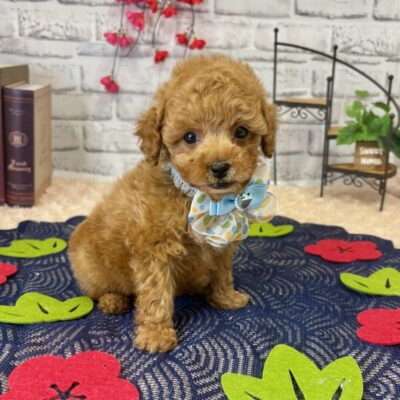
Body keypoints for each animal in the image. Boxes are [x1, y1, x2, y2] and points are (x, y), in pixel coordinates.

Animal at [68, 54, 277, 353]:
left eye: (241, 131)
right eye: (189, 137)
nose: (219, 167)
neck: (197, 197)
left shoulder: (221, 247)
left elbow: (222, 272)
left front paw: (226, 297)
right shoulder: (153, 248)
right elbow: (155, 295)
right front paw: (156, 335)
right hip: (90, 266)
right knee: (98, 290)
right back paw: (113, 300)